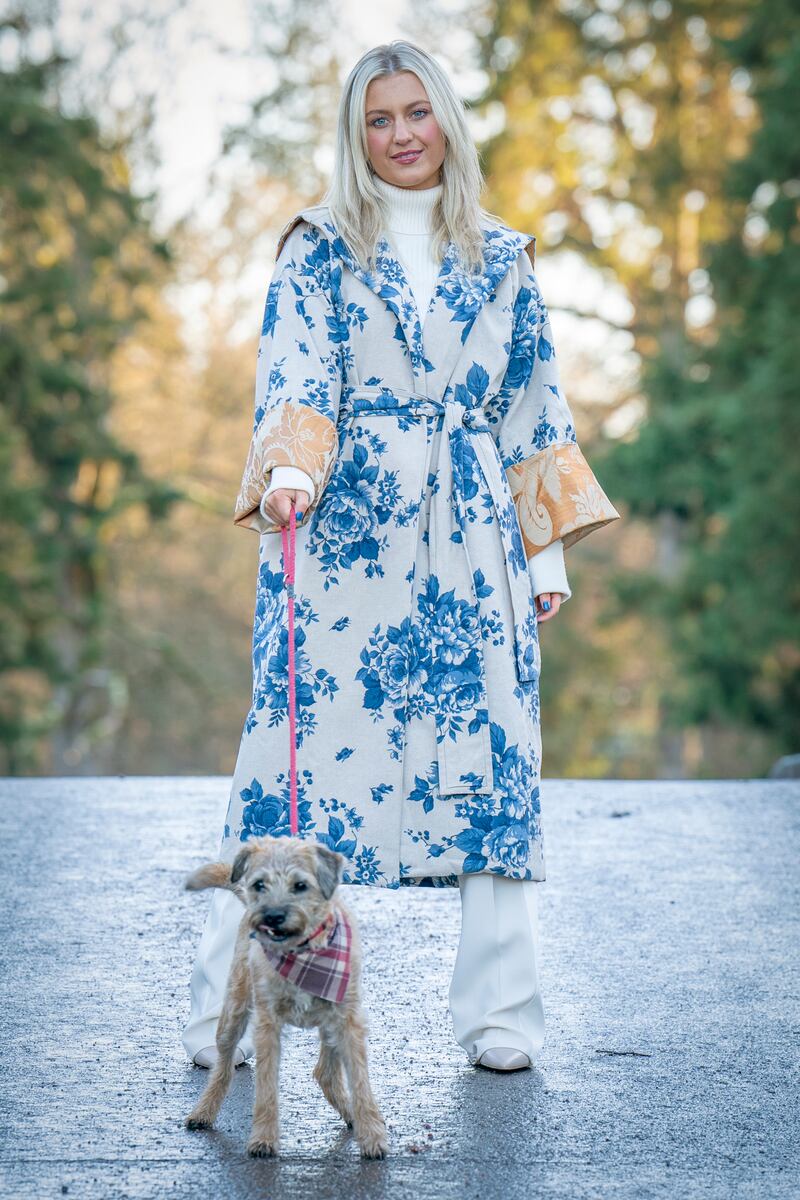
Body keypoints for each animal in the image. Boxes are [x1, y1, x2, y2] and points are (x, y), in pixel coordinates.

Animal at [185, 830, 391, 1156]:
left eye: (300, 885)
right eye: (260, 884)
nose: (272, 916)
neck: (304, 951)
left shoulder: (349, 1021)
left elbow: (360, 1081)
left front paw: (371, 1134)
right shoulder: (267, 1024)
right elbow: (266, 1086)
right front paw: (263, 1138)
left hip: (331, 1023)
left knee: (325, 1073)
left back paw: (352, 1116)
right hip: (233, 1013)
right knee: (223, 1067)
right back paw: (203, 1112)